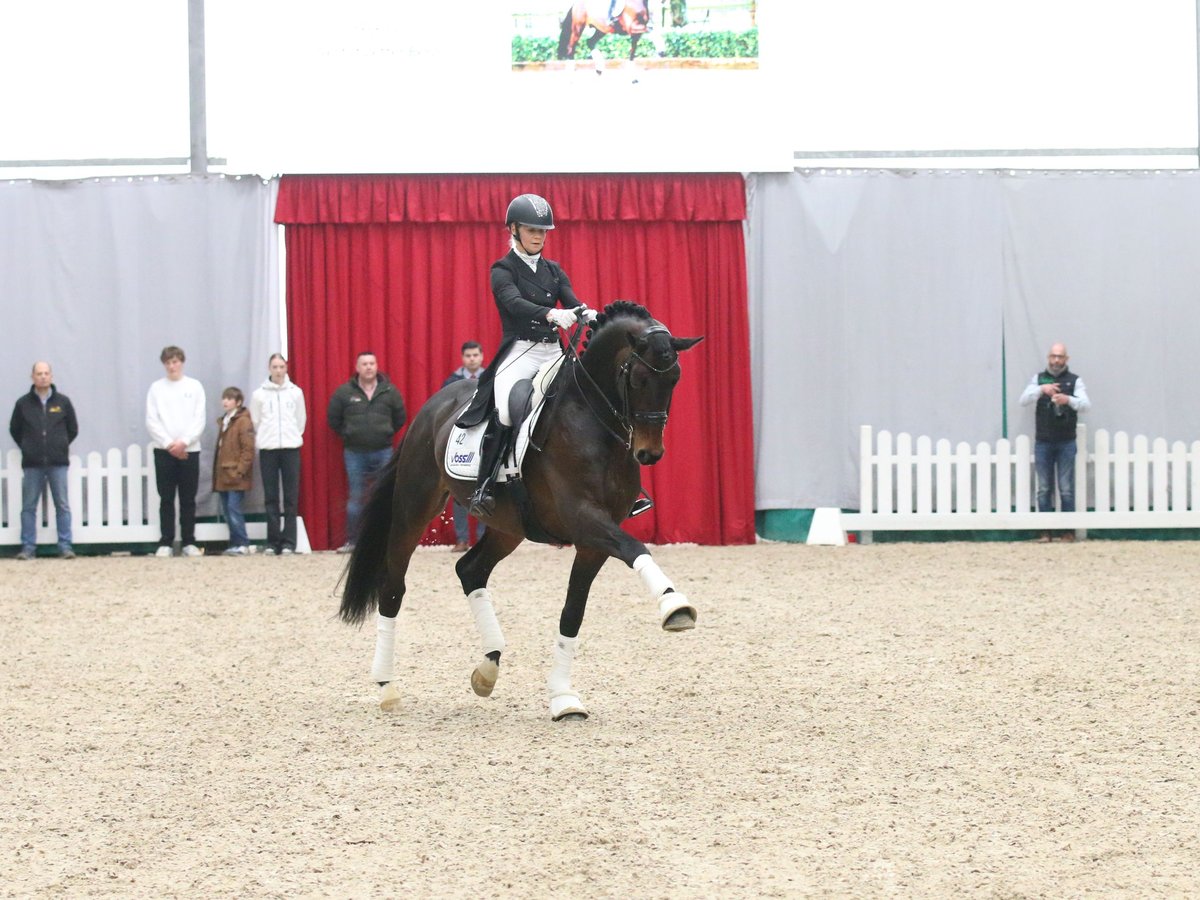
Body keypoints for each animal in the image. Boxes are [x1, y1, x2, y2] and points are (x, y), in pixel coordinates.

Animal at [338, 301, 700, 720]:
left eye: (674, 379)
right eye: (639, 379)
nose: (649, 453)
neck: (591, 418)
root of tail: (431, 407)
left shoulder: (592, 541)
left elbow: (572, 612)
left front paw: (563, 697)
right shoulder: (585, 519)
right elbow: (635, 548)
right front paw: (674, 605)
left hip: (507, 527)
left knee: (471, 570)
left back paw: (488, 668)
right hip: (414, 509)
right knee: (393, 586)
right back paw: (387, 685)